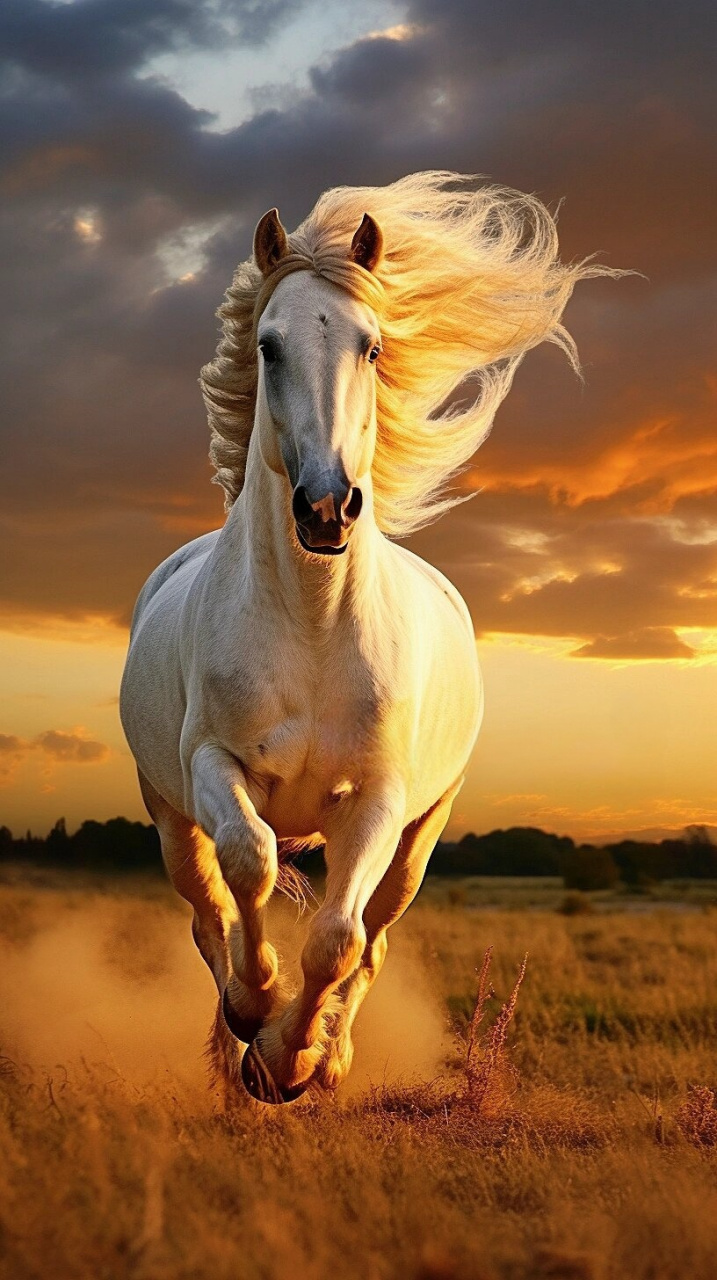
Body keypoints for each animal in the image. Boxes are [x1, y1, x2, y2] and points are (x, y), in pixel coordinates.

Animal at [120, 171, 612, 1103]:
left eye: (373, 348)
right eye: (268, 347)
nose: (325, 507)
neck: (313, 626)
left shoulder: (381, 796)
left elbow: (337, 938)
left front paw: (296, 1060)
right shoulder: (212, 765)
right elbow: (250, 865)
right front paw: (258, 1020)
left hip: (420, 835)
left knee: (374, 934)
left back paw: (326, 1054)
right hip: (167, 814)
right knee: (205, 909)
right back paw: (235, 1045)